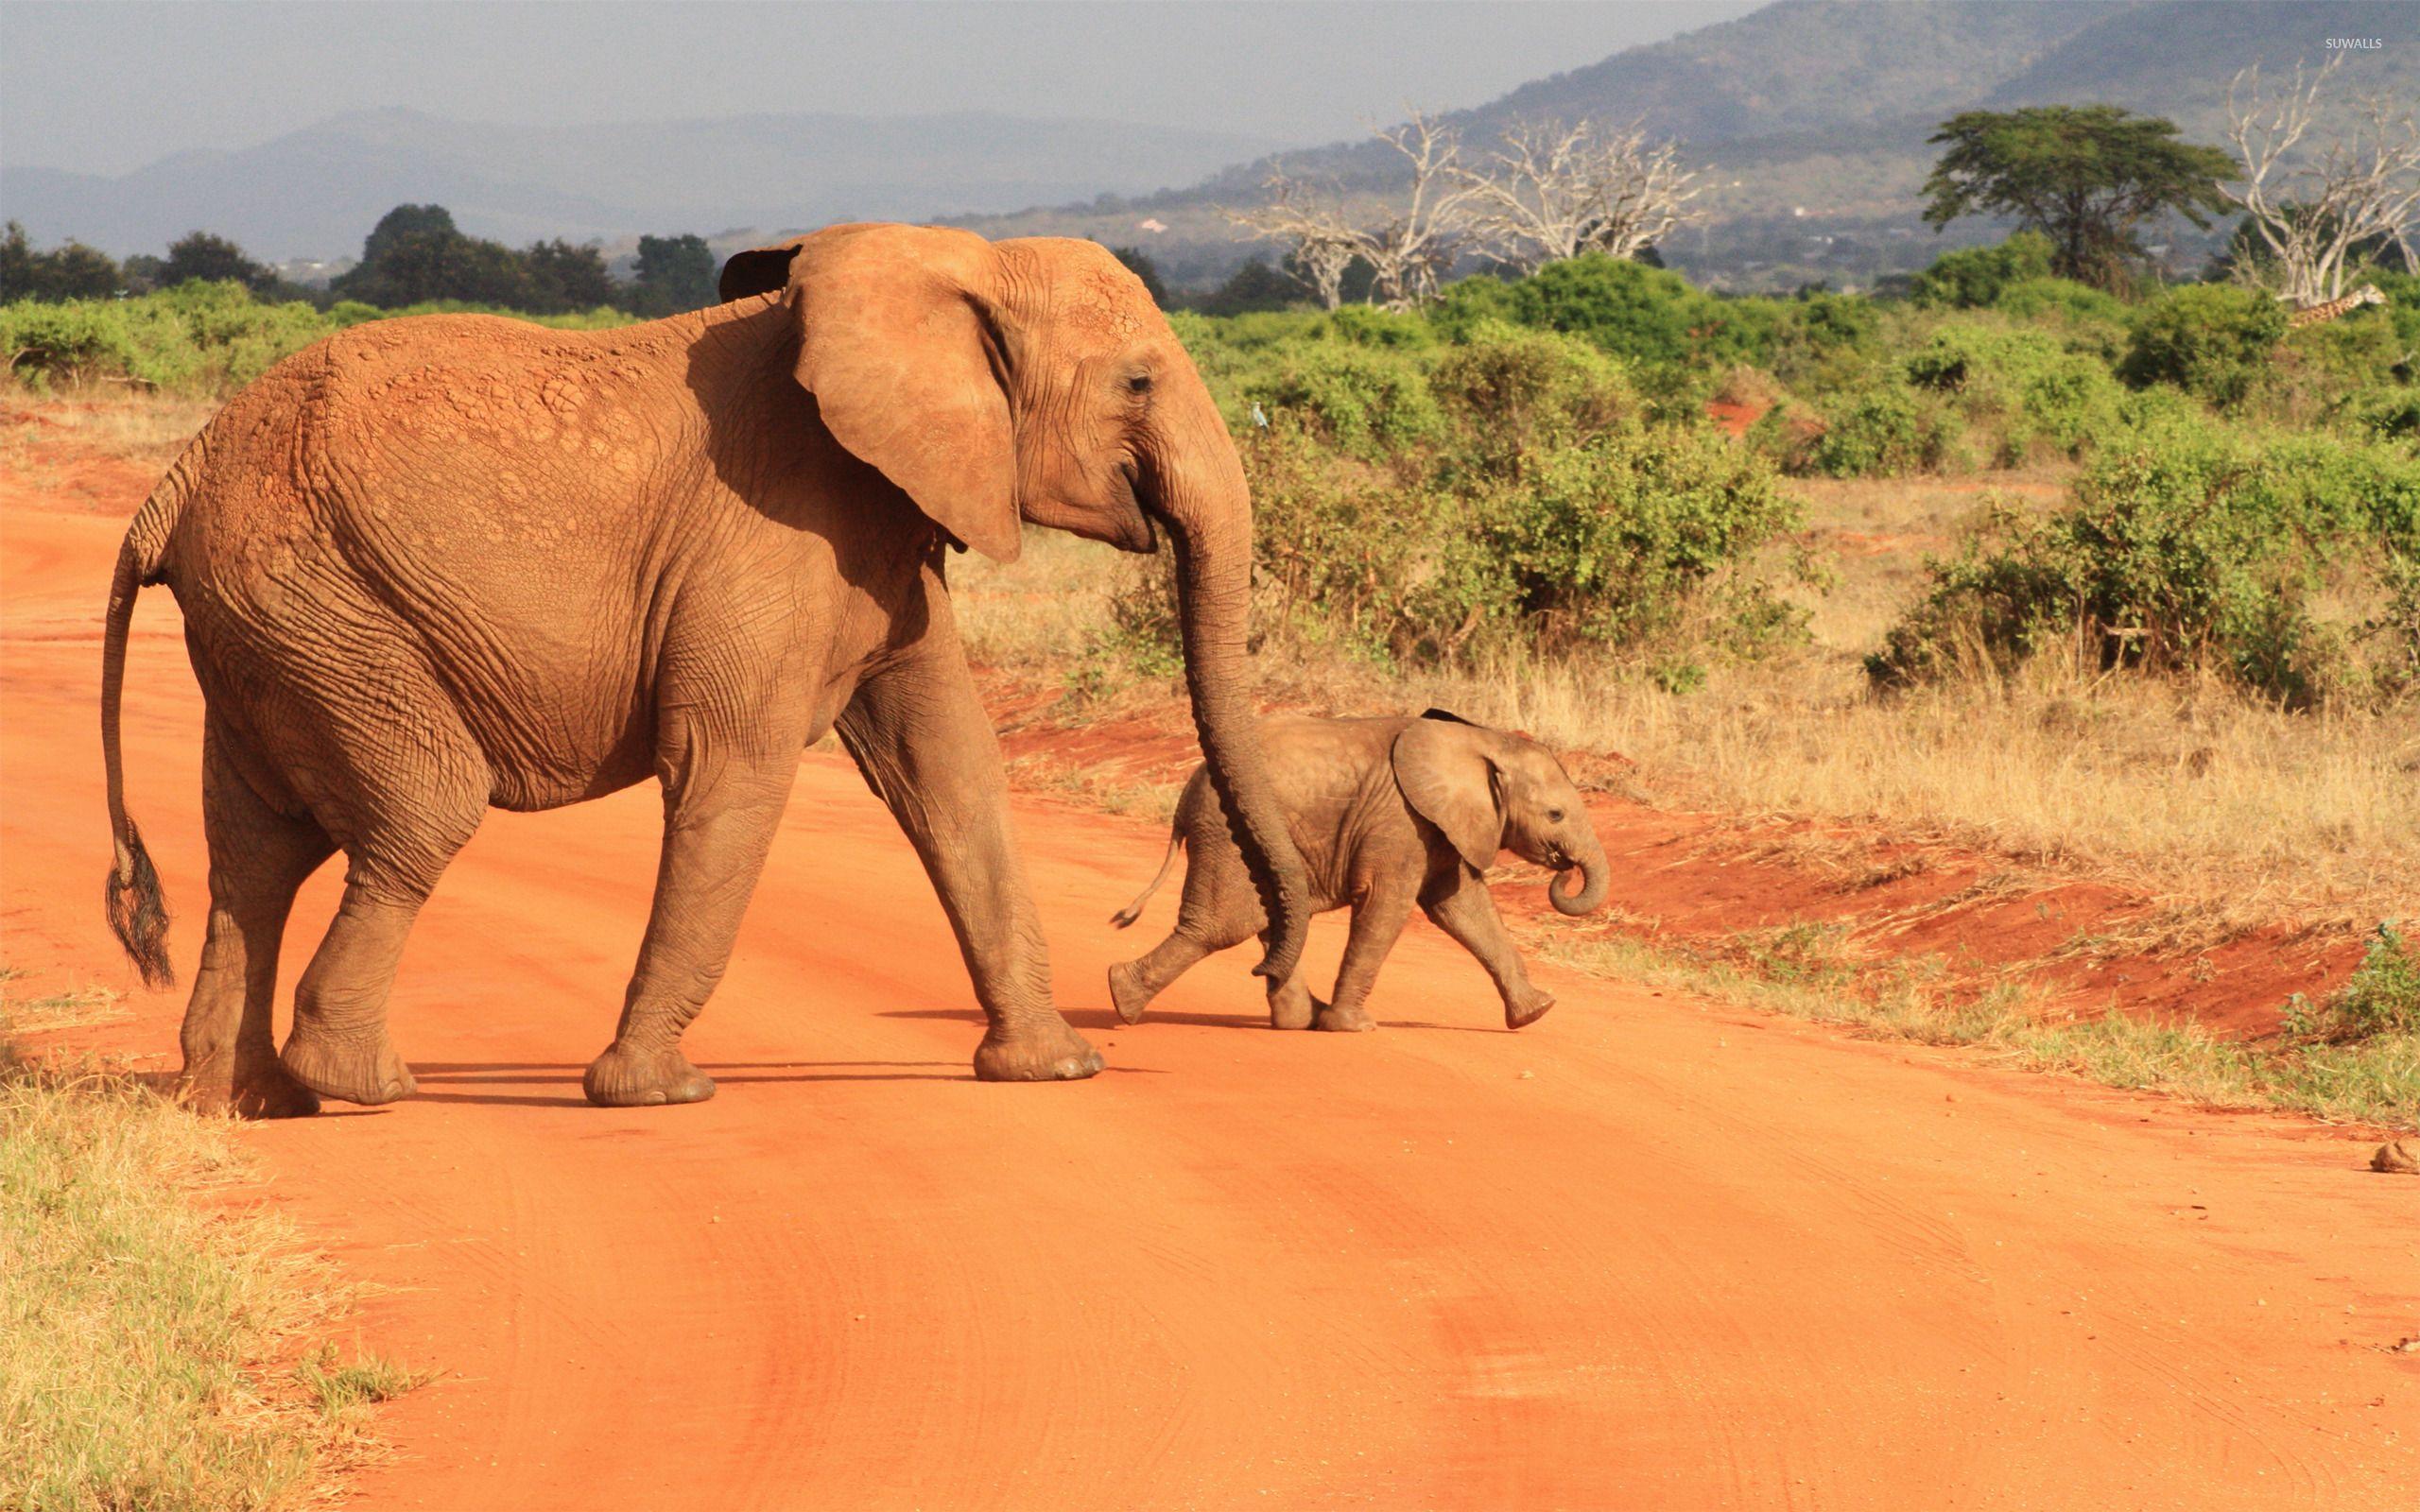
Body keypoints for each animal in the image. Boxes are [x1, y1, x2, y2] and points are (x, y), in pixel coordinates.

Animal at [98, 222, 1311, 1116]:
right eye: (1139, 383)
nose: (1275, 990)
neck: (950, 263)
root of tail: (177, 480)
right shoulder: (771, 530)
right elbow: (733, 771)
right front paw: (659, 1093)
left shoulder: (881, 527)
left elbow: (950, 771)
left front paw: (1053, 1071)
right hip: (325, 605)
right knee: (420, 808)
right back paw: (359, 1083)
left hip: (273, 629)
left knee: (259, 848)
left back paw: (247, 1099)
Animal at [1106, 710, 1608, 1033]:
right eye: (1556, 815)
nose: (1564, 869)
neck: (1479, 741)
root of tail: (1184, 797)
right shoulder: (1401, 821)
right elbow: (1388, 904)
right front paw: (1354, 1026)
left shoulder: (1441, 827)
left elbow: (1463, 908)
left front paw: (1537, 1011)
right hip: (1227, 837)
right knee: (1218, 926)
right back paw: (1122, 997)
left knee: (1270, 917)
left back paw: (1298, 1020)